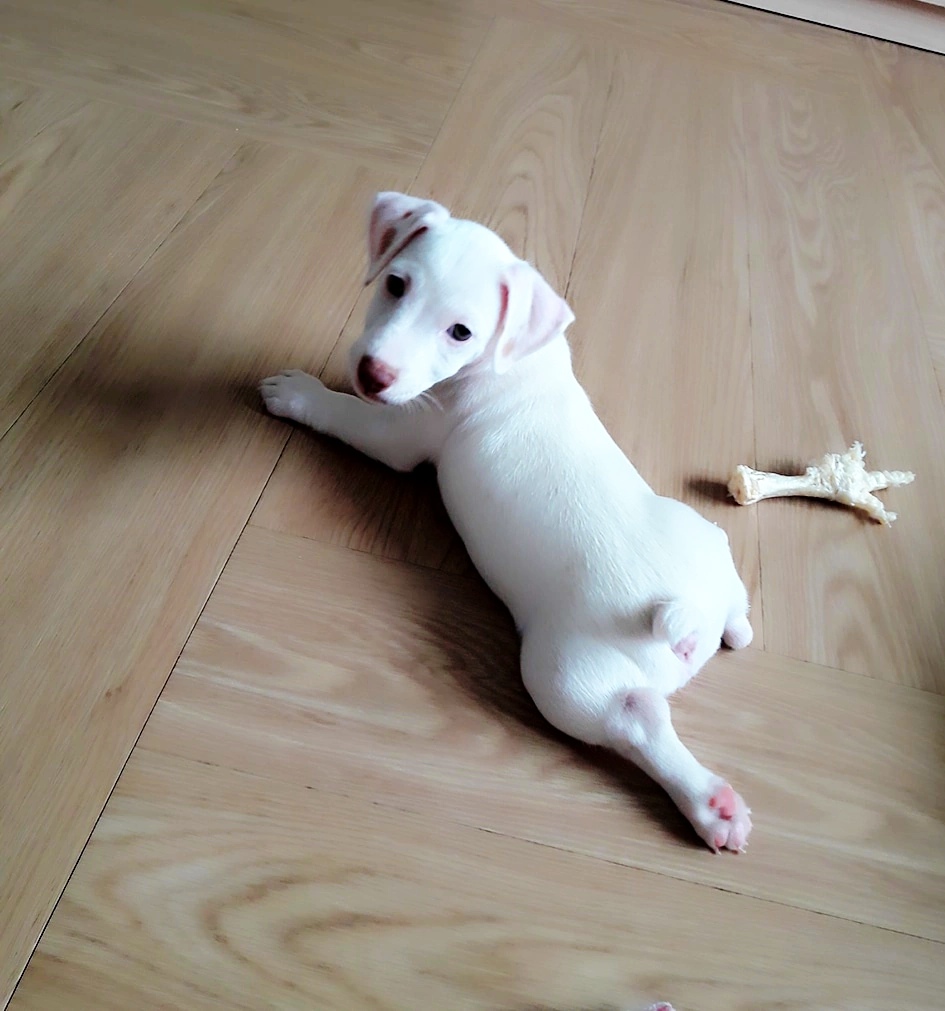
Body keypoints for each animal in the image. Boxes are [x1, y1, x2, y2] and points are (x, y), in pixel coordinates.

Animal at [260, 192, 754, 853]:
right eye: (394, 284)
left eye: (460, 332)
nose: (372, 373)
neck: (512, 358)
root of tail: (688, 616)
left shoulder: (399, 433)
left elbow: (346, 415)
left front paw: (302, 394)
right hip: (705, 545)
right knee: (728, 613)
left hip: (565, 679)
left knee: (638, 728)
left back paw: (707, 801)